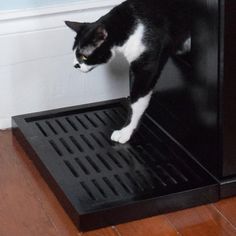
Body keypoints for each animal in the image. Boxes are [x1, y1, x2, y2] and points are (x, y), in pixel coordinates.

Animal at [65, 0, 191, 144]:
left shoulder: (146, 66)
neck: (129, 27)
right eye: (74, 53)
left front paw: (126, 131)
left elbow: (137, 101)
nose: (75, 65)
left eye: (83, 56)